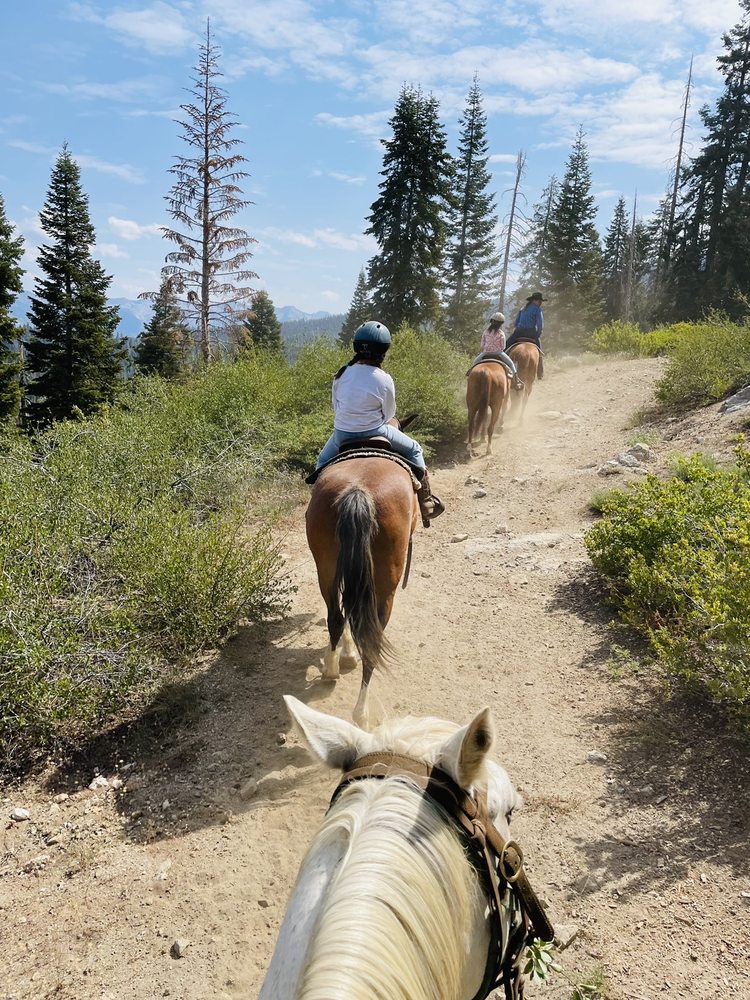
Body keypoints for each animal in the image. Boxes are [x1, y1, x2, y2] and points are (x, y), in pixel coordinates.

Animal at [305, 447, 418, 727]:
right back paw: (362, 714)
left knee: (335, 616)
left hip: (325, 567)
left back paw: (331, 670)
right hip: (385, 589)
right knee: (371, 643)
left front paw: (345, 656)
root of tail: (357, 491)